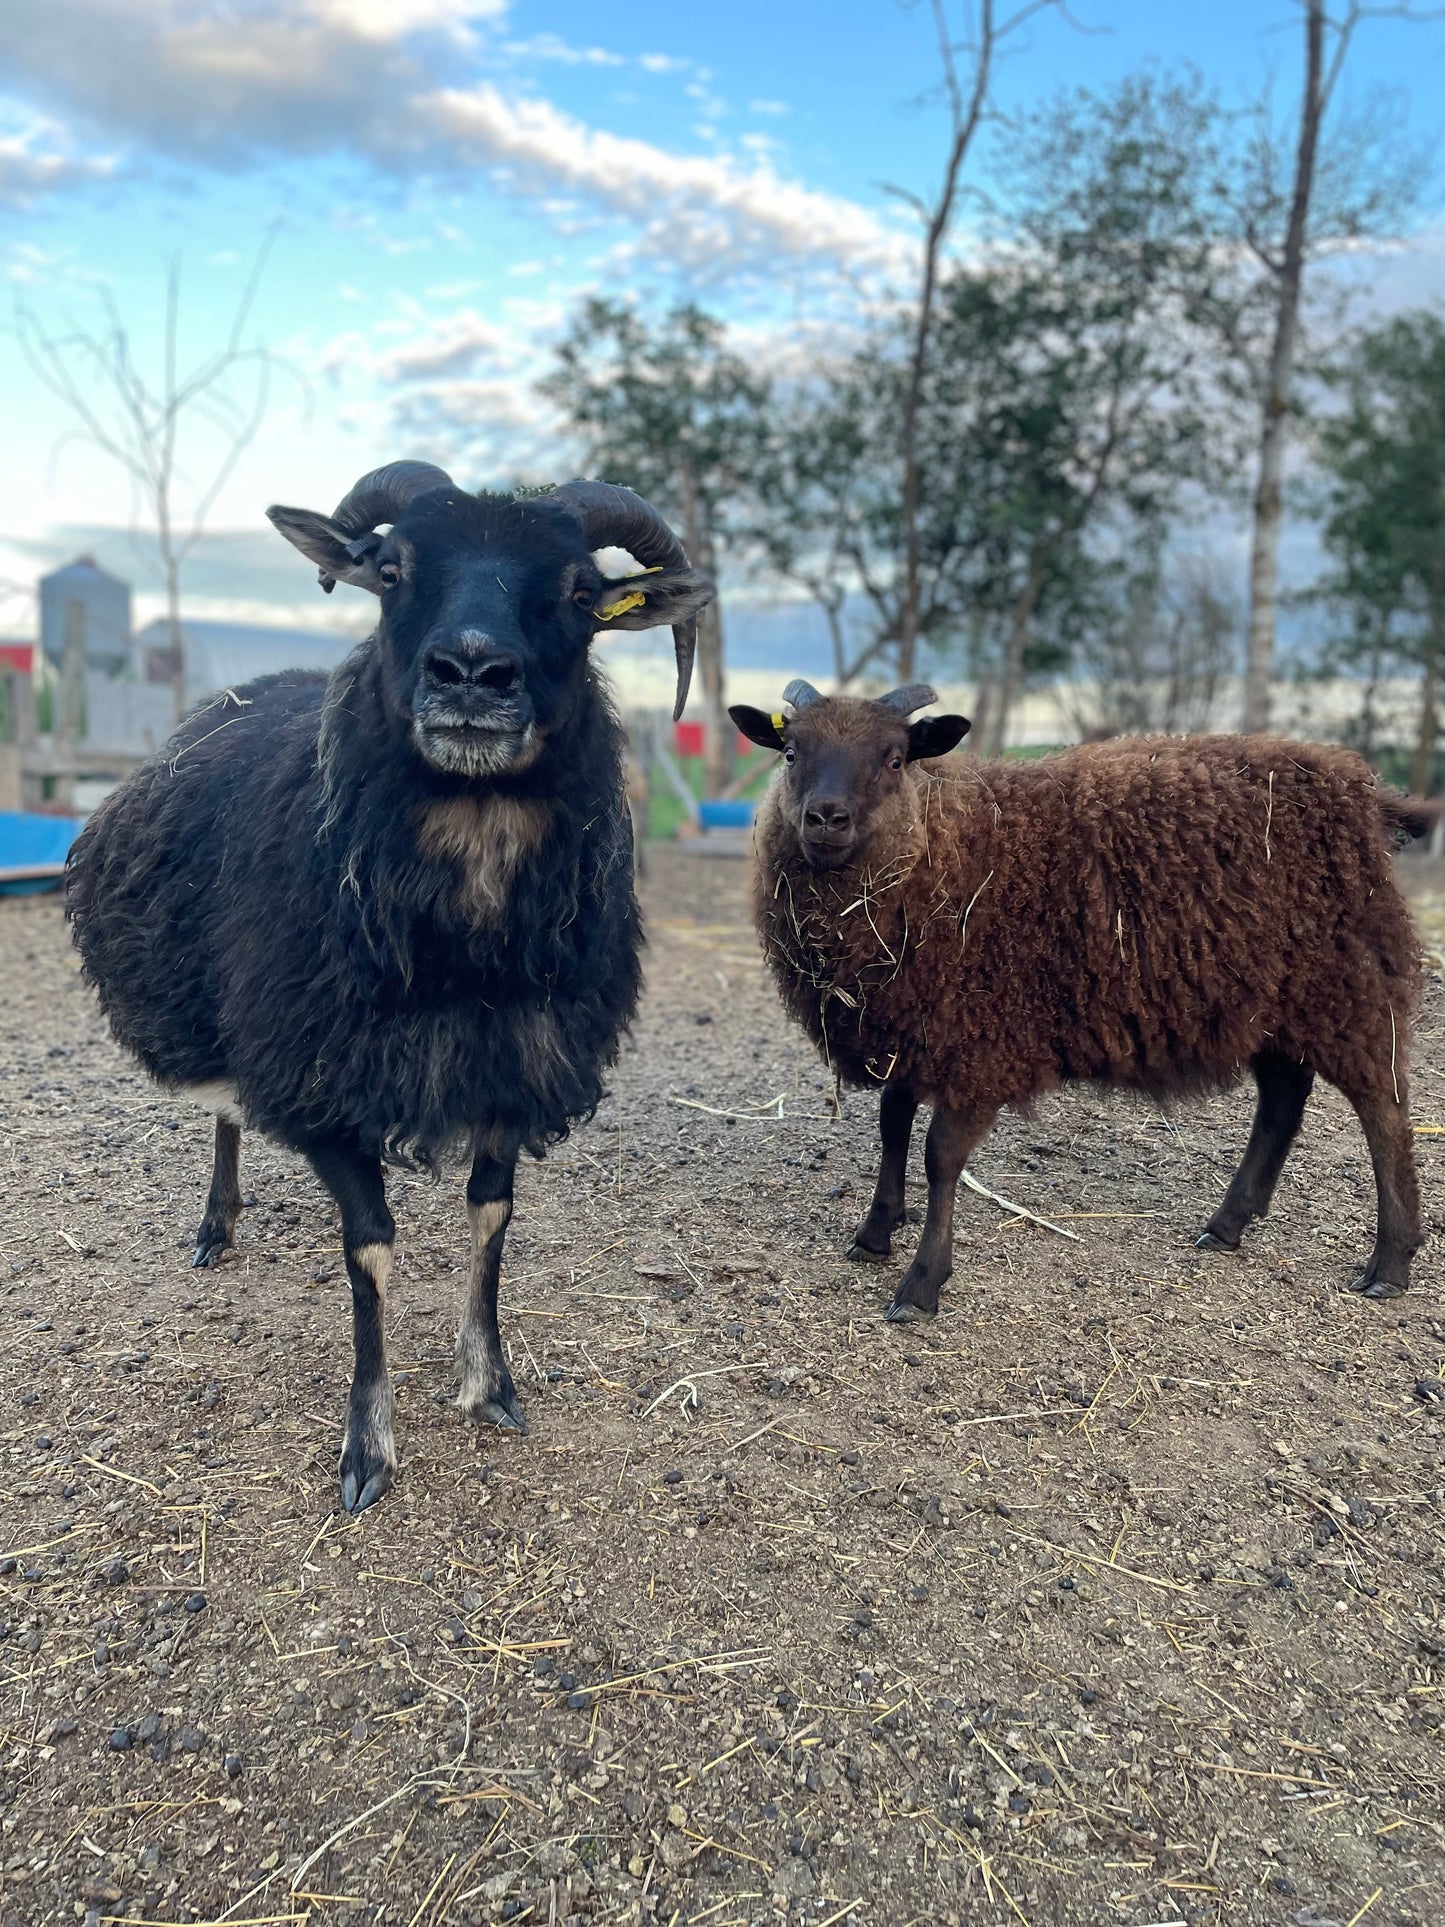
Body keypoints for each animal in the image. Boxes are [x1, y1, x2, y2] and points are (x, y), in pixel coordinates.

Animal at [67, 461, 714, 1511]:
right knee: (226, 1108)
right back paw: (215, 1225)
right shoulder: (321, 1076)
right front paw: (366, 1445)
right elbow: (368, 1246)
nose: (472, 673)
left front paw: (488, 1381)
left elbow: (492, 1215)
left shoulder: (512, 1066)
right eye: (390, 568)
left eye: (581, 590)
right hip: (225, 1005)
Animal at [731, 680, 1431, 1323]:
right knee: (1283, 1100)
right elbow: (892, 1128)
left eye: (896, 758)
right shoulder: (910, 1024)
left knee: (1385, 1111)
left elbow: (940, 1157)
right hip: (1268, 1003)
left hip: (1349, 991)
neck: (952, 841)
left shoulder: (981, 1041)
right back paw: (1228, 1225)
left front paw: (922, 1282)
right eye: (790, 751)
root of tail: (1361, 785)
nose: (826, 818)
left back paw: (1390, 1263)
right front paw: (876, 1232)